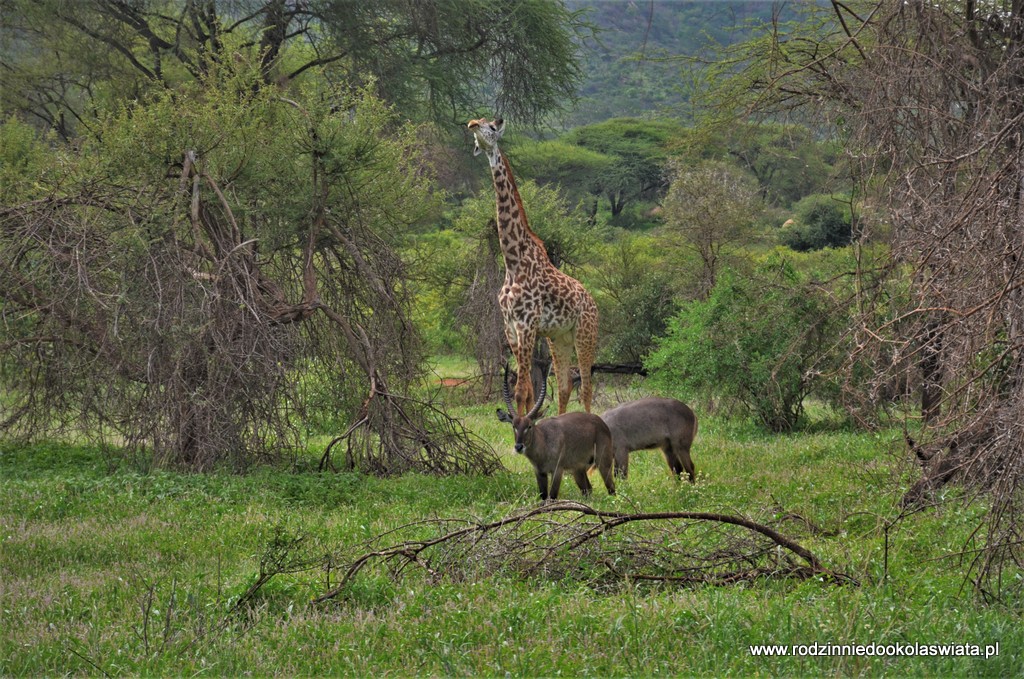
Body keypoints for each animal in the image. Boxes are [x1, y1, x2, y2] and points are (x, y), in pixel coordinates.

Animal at [466, 116, 598, 413]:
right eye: (478, 122)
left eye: (491, 127)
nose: (471, 124)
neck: (513, 259)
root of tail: (593, 301)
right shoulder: (511, 329)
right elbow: (523, 391)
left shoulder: (526, 326)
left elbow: (522, 391)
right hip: (558, 338)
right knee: (565, 387)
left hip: (585, 334)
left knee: (586, 387)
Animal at [495, 364, 614, 501]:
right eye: (514, 426)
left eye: (529, 426)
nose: (519, 447)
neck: (543, 441)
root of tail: (602, 422)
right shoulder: (539, 472)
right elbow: (543, 496)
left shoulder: (557, 471)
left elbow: (552, 496)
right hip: (578, 470)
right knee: (588, 490)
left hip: (603, 462)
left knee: (611, 489)